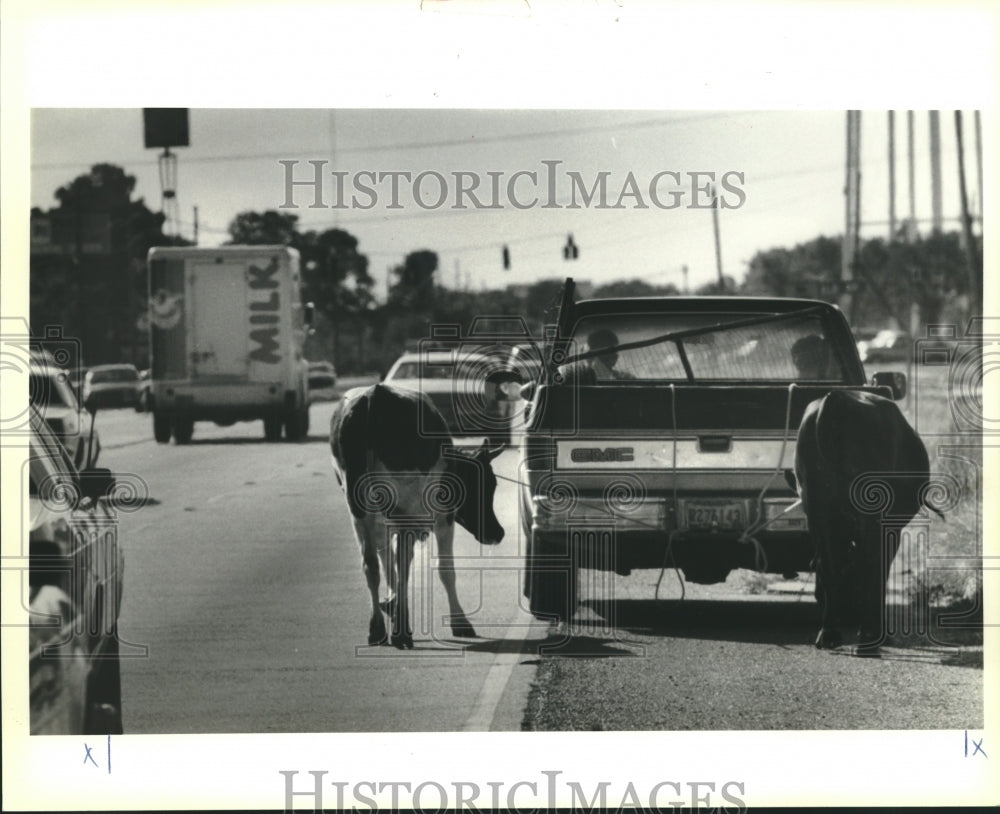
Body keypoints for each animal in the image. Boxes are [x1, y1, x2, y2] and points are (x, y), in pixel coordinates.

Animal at [332, 382, 504, 652]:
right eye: (487, 483)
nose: (498, 533)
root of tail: (375, 395)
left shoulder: (384, 521)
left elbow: (385, 559)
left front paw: (390, 603)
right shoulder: (442, 518)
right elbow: (445, 569)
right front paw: (460, 621)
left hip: (358, 508)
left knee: (371, 564)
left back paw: (378, 629)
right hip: (406, 508)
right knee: (403, 564)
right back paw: (402, 633)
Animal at [784, 390, 940, 656]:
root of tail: (837, 397)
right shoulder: (890, 529)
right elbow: (879, 569)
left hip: (817, 509)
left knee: (830, 565)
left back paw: (829, 634)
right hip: (870, 515)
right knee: (869, 563)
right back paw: (868, 639)